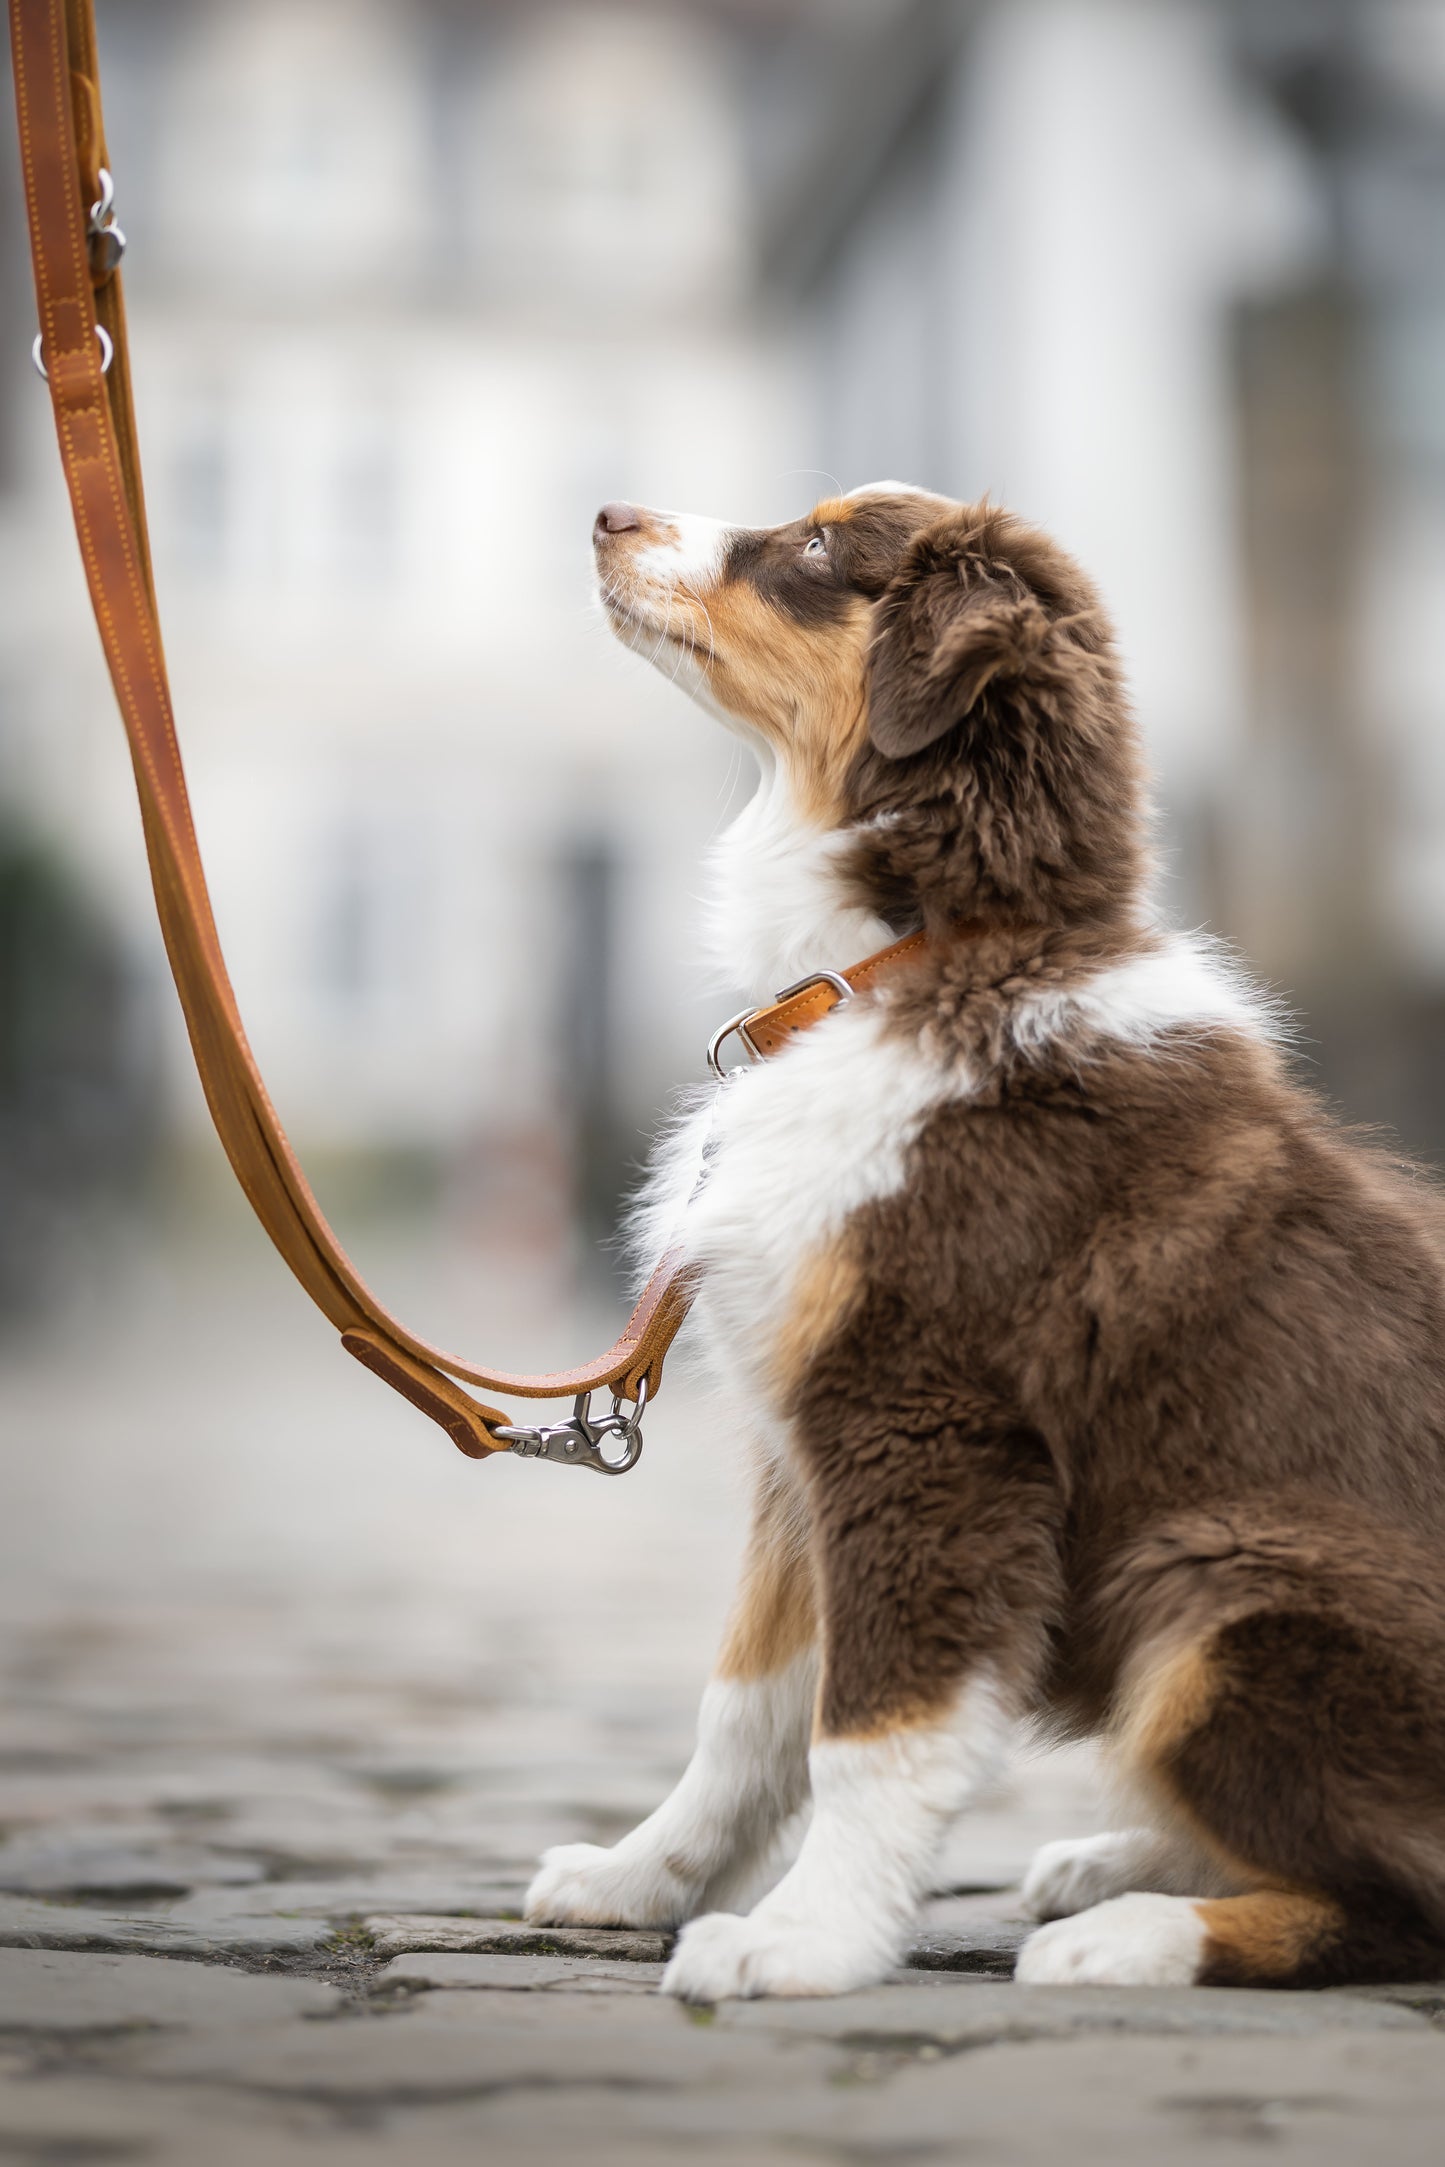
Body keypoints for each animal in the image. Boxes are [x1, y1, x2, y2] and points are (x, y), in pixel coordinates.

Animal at [526, 487, 1445, 1993]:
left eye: (818, 550)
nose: (606, 511)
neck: (911, 956)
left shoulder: (924, 1429)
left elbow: (871, 1728)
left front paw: (804, 1941)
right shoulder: (799, 1452)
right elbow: (748, 1709)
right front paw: (637, 1877)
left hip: (1219, 1588)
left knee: (1401, 1900)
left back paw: (1133, 1930)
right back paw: (1122, 1861)